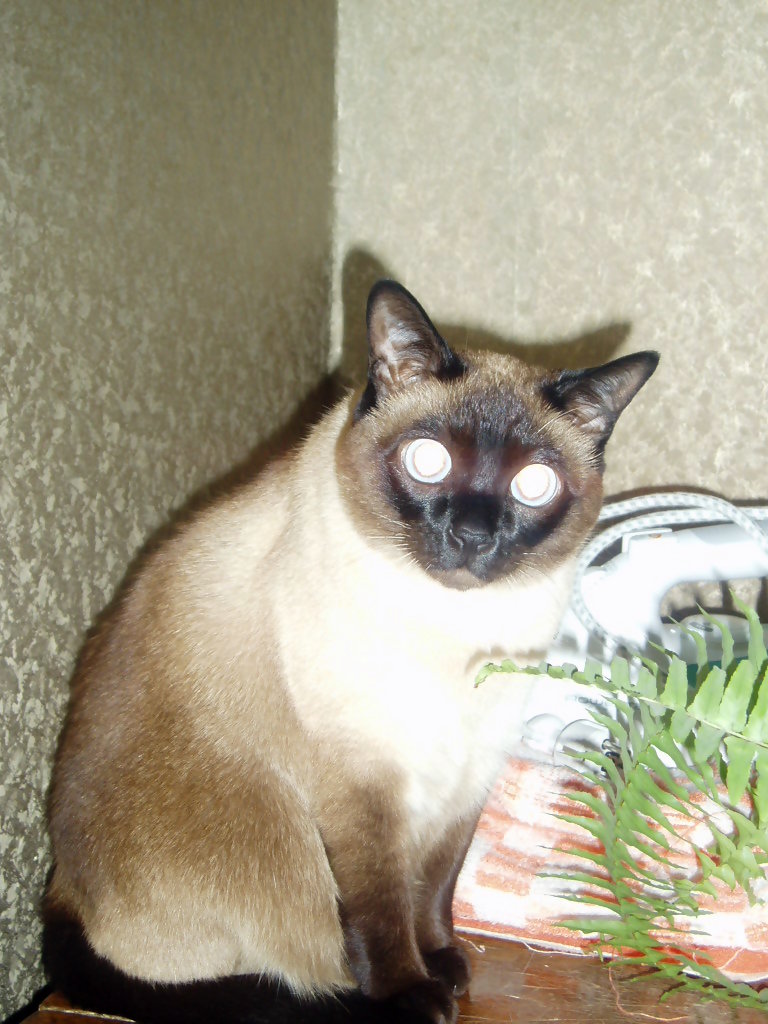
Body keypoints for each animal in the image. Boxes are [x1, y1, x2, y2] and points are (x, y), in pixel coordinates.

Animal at [43, 280, 658, 1024]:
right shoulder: (360, 785)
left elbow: (435, 886)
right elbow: (381, 906)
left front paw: (445, 963)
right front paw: (411, 994)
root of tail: (61, 891)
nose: (472, 535)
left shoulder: (470, 772)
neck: (457, 630)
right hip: (279, 837)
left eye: (532, 485)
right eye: (429, 462)